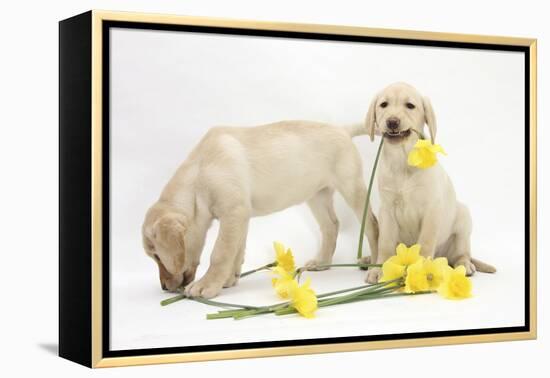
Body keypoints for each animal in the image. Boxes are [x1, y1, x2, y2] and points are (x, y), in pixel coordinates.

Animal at [142, 121, 380, 298]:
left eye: (157, 256)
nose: (164, 288)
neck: (199, 174)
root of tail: (342, 129)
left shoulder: (233, 213)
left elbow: (220, 253)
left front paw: (206, 285)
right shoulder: (240, 217)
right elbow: (236, 251)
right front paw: (229, 279)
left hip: (352, 188)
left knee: (372, 225)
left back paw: (376, 266)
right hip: (317, 195)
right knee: (331, 225)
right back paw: (322, 262)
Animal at [364, 82, 498, 284]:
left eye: (410, 106)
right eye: (383, 105)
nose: (392, 122)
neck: (403, 158)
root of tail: (444, 256)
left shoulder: (431, 209)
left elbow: (425, 243)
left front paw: (423, 272)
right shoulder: (386, 210)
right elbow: (384, 244)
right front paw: (380, 269)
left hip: (463, 218)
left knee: (462, 252)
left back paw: (464, 265)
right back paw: (367, 260)